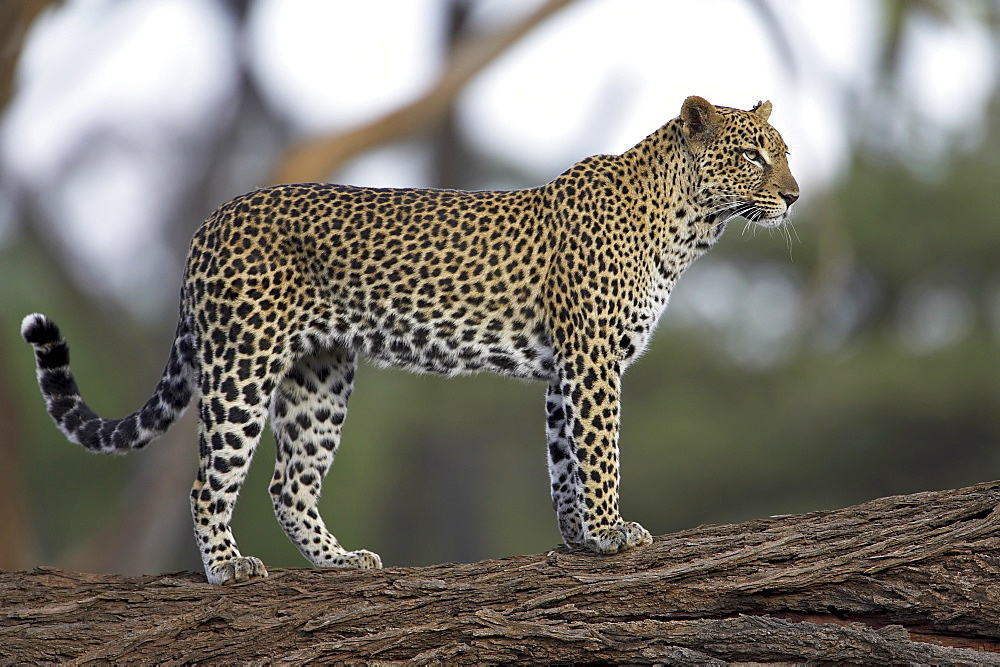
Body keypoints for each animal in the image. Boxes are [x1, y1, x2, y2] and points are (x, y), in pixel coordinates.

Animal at [21, 95, 796, 584]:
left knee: (288, 482)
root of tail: (212, 220)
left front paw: (579, 537)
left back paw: (338, 563)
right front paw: (611, 531)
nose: (793, 195)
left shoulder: (564, 371)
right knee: (208, 479)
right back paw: (225, 568)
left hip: (320, 374)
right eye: (755, 156)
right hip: (243, 361)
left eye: (782, 154)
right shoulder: (593, 359)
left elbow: (562, 459)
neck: (692, 223)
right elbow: (599, 451)